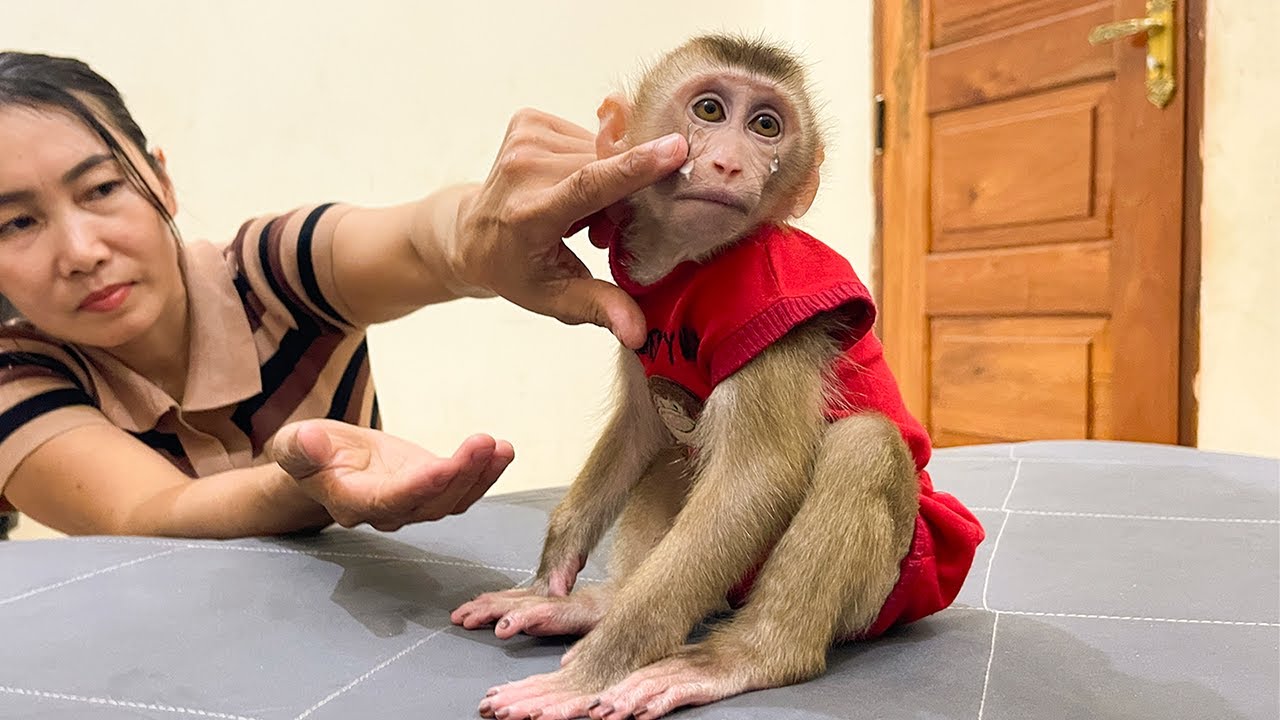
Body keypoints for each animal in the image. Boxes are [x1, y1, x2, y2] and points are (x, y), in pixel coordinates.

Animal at [450, 34, 986, 720]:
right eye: (709, 110)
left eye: (766, 126)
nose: (729, 164)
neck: (691, 264)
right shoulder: (635, 311)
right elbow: (641, 426)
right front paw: (550, 579)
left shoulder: (772, 297)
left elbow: (758, 477)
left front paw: (597, 669)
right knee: (678, 453)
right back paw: (598, 603)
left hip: (894, 589)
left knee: (863, 446)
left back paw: (749, 657)